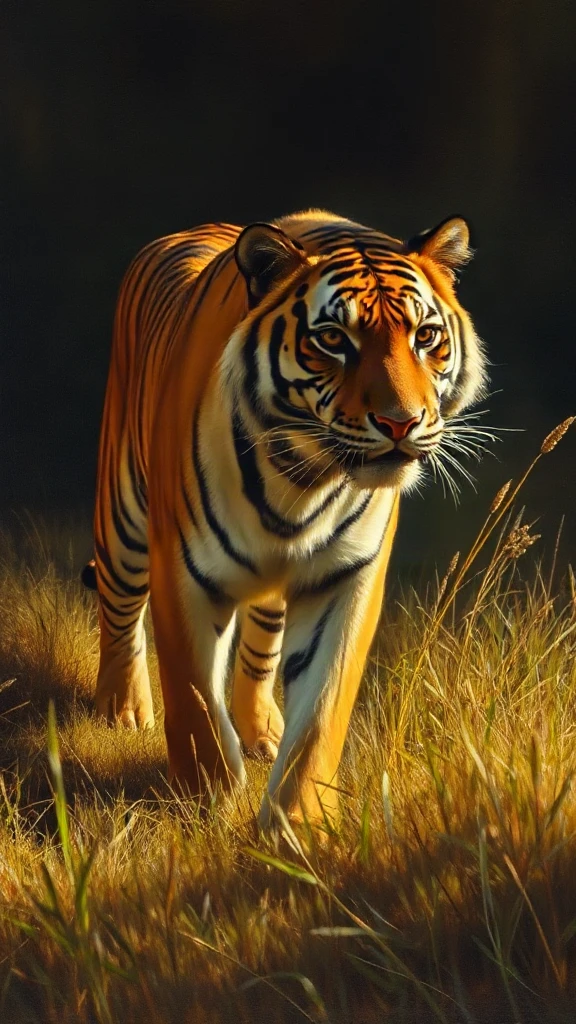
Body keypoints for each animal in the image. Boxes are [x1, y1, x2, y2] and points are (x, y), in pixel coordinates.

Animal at [85, 208, 486, 829]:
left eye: (425, 336)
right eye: (333, 339)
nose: (402, 422)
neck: (303, 476)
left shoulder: (345, 580)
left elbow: (321, 716)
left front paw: (299, 824)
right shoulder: (182, 571)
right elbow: (196, 701)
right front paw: (207, 805)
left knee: (260, 651)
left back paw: (263, 731)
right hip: (124, 513)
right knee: (120, 609)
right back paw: (123, 708)